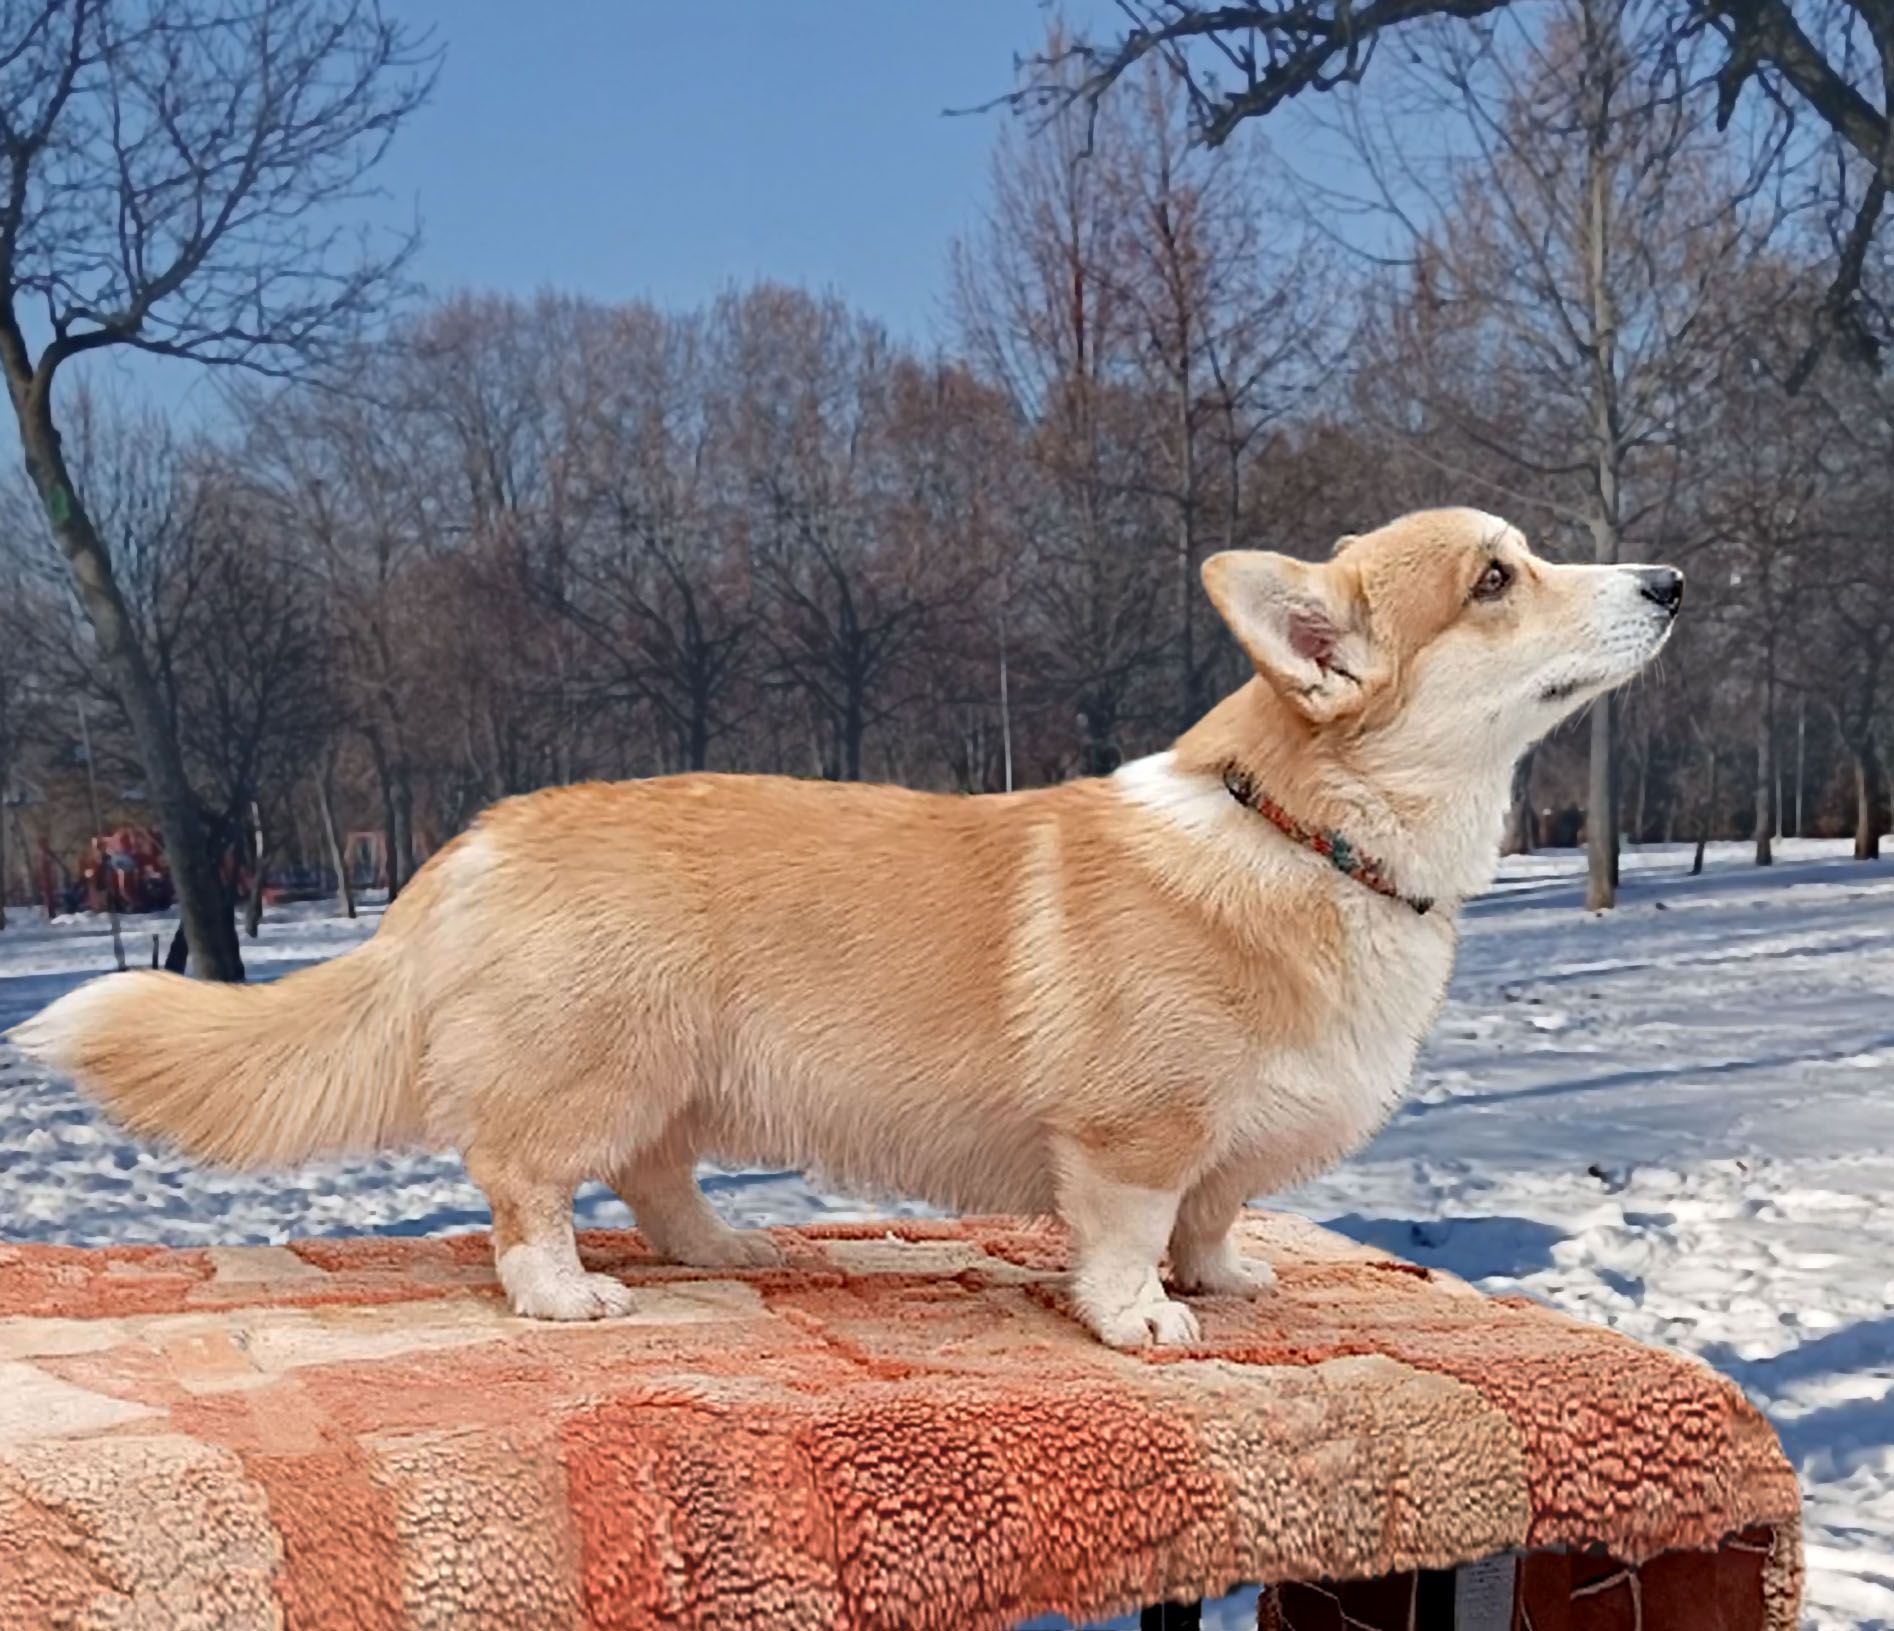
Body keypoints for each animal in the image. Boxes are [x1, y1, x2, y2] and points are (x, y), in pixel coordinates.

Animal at [3, 511, 1689, 1348]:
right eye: (1494, 577)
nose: (1672, 575)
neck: (1310, 834)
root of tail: (471, 843)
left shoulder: (1223, 1143)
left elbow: (1215, 1215)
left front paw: (1223, 1280)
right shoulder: (1128, 1133)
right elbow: (1127, 1233)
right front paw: (1143, 1318)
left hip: (677, 1083)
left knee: (657, 1177)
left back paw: (725, 1245)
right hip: (595, 1076)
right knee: (527, 1185)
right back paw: (565, 1294)